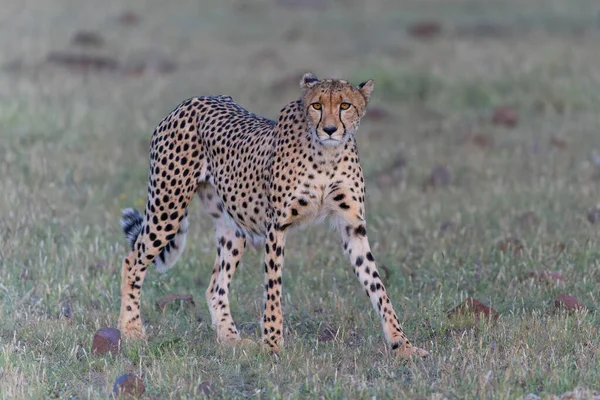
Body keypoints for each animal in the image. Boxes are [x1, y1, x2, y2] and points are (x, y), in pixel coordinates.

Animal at [117, 72, 428, 360]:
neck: (327, 155)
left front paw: (402, 344)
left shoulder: (353, 226)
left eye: (345, 105)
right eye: (316, 105)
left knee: (215, 287)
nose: (329, 129)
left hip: (233, 227)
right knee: (132, 260)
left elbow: (376, 284)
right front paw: (273, 344)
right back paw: (130, 330)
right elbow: (273, 289)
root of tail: (191, 101)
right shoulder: (276, 226)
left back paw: (231, 340)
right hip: (168, 206)